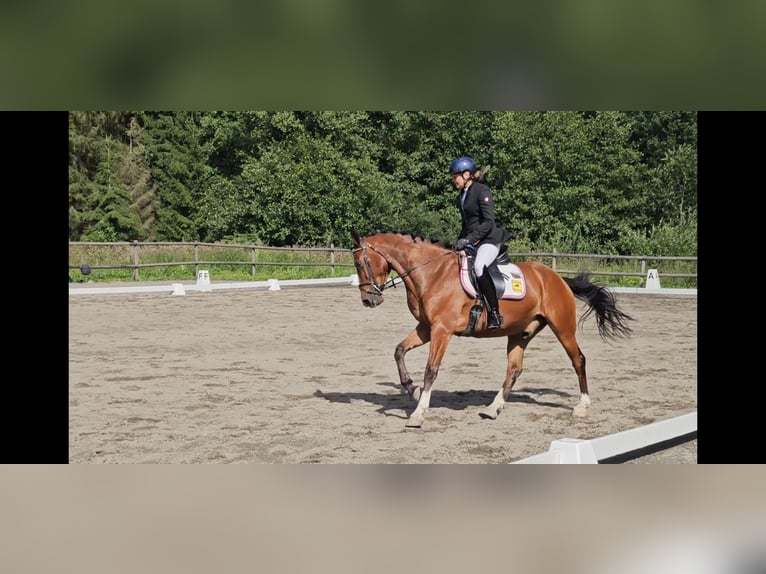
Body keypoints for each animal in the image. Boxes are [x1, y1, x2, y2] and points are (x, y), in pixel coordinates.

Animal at [350, 230, 634, 428]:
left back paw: (582, 406)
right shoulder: (426, 328)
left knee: (578, 360)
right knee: (514, 369)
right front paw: (412, 389)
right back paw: (492, 409)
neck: (431, 272)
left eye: (361, 263)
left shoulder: (441, 330)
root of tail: (557, 278)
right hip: (520, 332)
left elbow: (431, 370)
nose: (369, 301)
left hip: (563, 328)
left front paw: (418, 413)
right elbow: (399, 351)